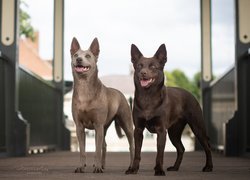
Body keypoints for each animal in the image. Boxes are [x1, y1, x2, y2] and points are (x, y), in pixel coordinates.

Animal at [70, 37, 135, 173]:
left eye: (88, 56)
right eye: (75, 55)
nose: (78, 59)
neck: (84, 87)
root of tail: (120, 93)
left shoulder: (98, 125)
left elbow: (97, 149)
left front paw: (97, 167)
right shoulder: (79, 127)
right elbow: (82, 150)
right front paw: (81, 166)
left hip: (126, 124)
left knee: (131, 146)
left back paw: (131, 166)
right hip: (104, 127)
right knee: (104, 145)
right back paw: (103, 165)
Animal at [126, 44, 212, 176]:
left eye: (153, 66)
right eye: (139, 66)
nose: (142, 73)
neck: (148, 97)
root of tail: (191, 94)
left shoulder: (161, 131)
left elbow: (159, 154)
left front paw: (159, 170)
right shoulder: (138, 130)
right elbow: (137, 153)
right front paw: (133, 169)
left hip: (197, 127)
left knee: (207, 146)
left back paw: (208, 167)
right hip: (174, 132)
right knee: (181, 148)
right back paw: (175, 167)